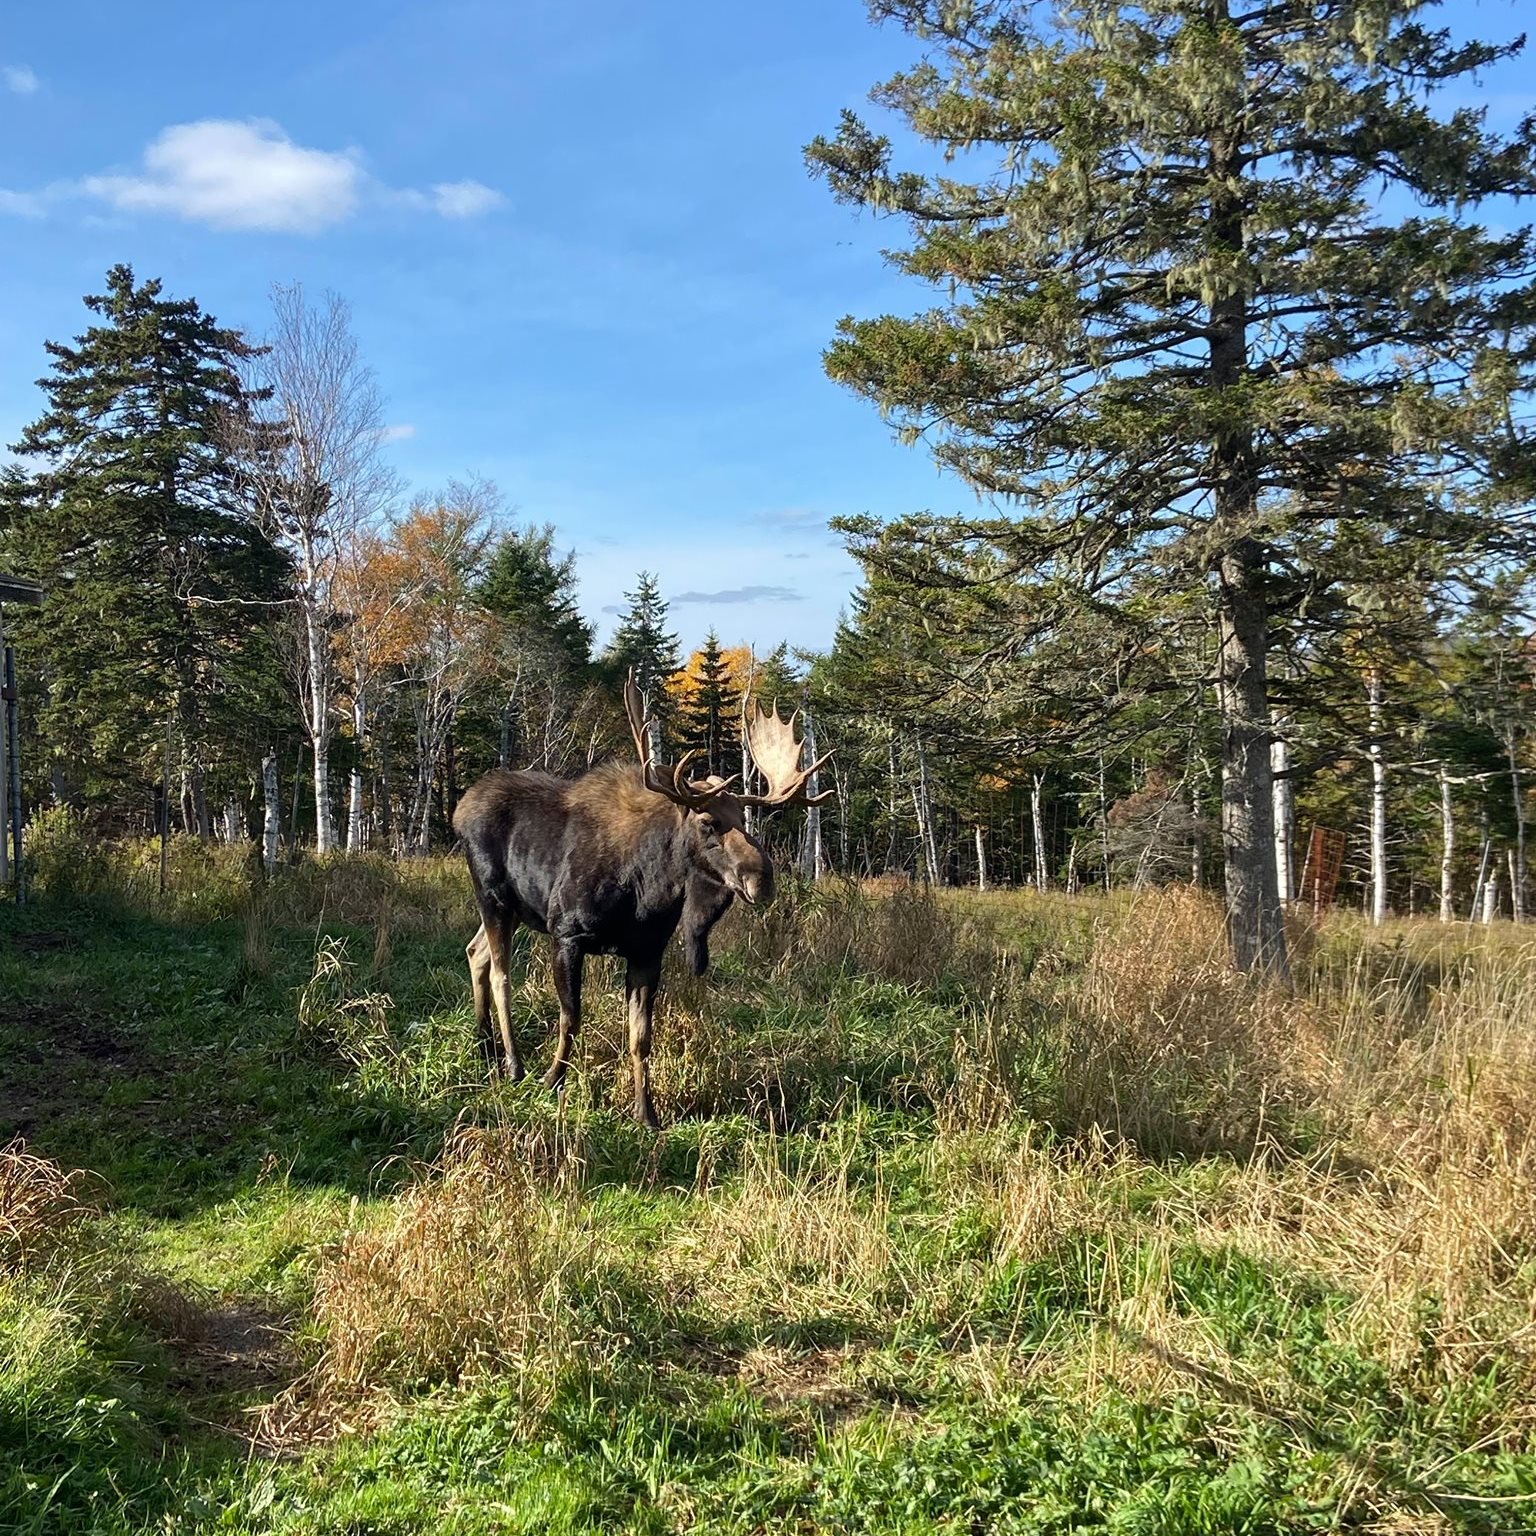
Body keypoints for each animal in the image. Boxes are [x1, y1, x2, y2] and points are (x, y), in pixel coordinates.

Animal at [451, 671, 832, 1127]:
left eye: (744, 818)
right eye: (708, 822)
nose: (762, 879)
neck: (646, 893)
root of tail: (458, 809)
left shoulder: (647, 952)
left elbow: (640, 1036)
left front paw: (645, 1112)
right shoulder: (566, 934)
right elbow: (571, 1017)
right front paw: (552, 1080)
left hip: (514, 909)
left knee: (475, 953)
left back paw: (484, 1046)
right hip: (492, 894)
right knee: (499, 973)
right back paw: (512, 1062)